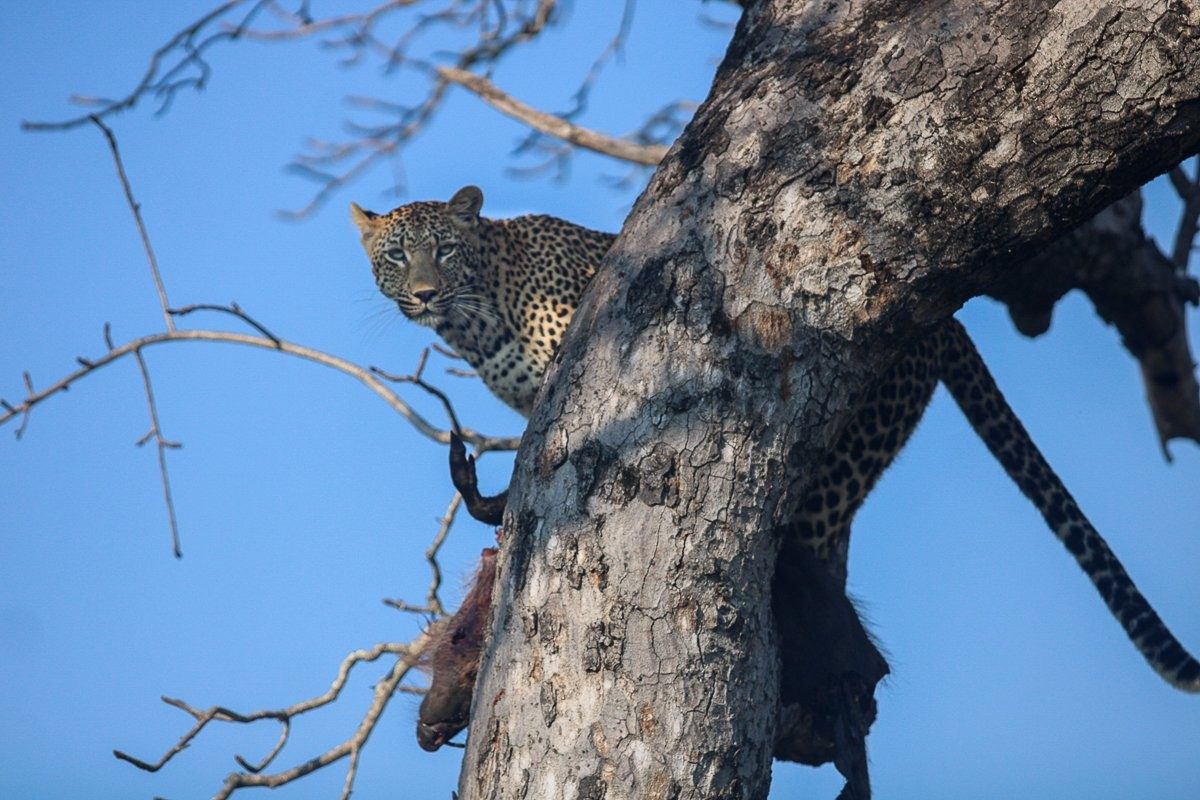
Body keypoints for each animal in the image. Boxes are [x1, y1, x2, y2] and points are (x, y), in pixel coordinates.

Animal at [351, 185, 1199, 697]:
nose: (423, 292)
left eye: (446, 250)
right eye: (396, 257)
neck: (478, 320)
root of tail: (948, 320)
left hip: (845, 448)